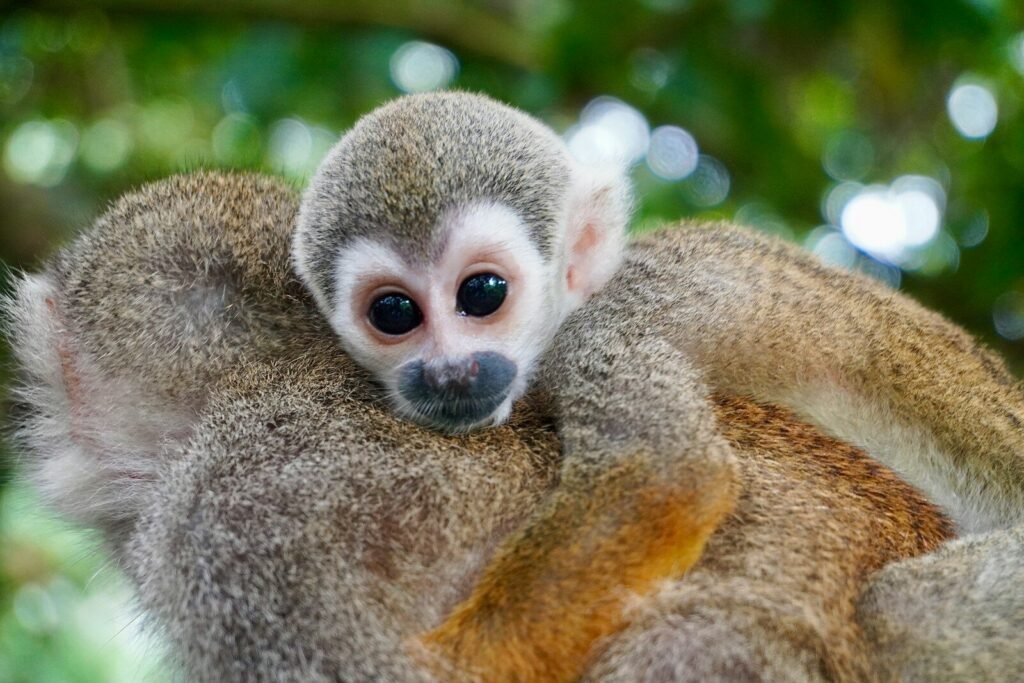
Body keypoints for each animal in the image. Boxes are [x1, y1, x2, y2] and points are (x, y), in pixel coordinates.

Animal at [291, 91, 1024, 677]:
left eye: (482, 293)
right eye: (394, 312)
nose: (449, 371)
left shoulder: (600, 338)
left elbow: (663, 476)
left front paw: (451, 664)